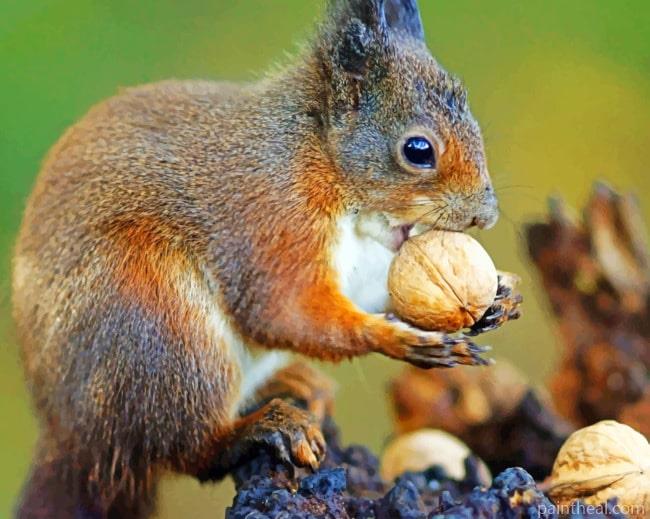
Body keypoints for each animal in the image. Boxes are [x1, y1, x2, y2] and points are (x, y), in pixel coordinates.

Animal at [12, 1, 520, 517]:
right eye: (418, 150)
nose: (485, 216)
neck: (324, 164)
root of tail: (75, 441)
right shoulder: (271, 219)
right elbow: (281, 310)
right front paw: (400, 339)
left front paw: (497, 297)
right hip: (159, 330)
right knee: (186, 449)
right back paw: (260, 428)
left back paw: (294, 383)